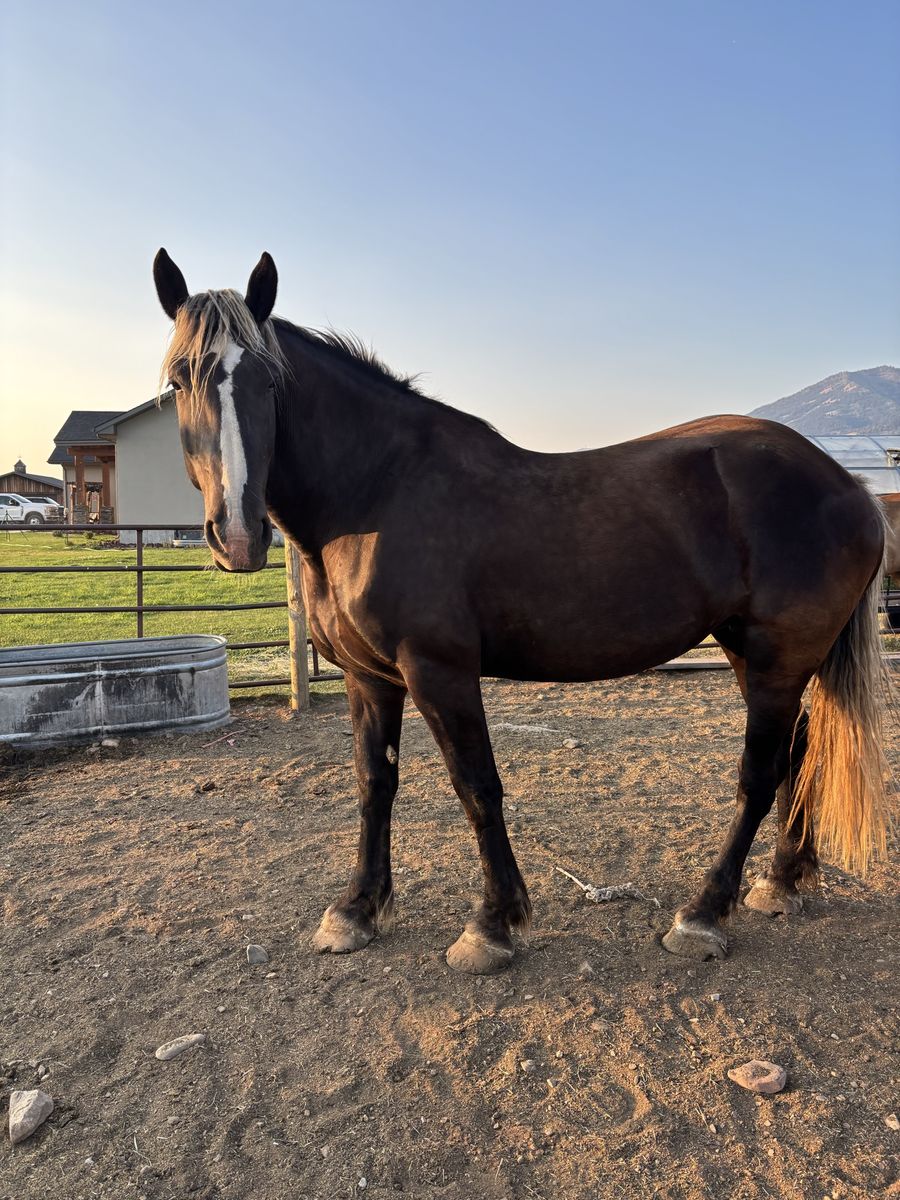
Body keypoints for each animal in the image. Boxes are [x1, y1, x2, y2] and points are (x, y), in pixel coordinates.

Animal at [153, 249, 891, 974]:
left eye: (270, 383)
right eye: (179, 382)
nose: (238, 535)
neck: (378, 492)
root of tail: (848, 483)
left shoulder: (439, 671)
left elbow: (476, 785)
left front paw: (492, 925)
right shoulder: (370, 678)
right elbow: (374, 782)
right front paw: (356, 910)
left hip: (775, 660)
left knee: (759, 775)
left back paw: (703, 914)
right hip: (754, 653)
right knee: (799, 753)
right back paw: (781, 882)